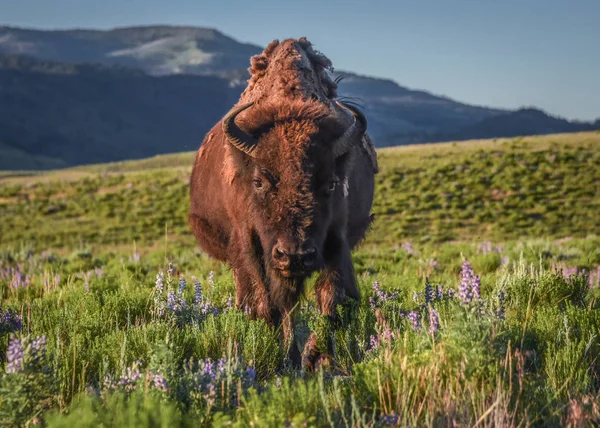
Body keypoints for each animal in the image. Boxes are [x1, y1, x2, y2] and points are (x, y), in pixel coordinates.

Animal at [188, 38, 378, 370]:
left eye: (330, 184)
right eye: (259, 182)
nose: (295, 255)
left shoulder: (337, 240)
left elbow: (331, 299)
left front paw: (317, 357)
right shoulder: (248, 242)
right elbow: (265, 304)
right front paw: (277, 358)